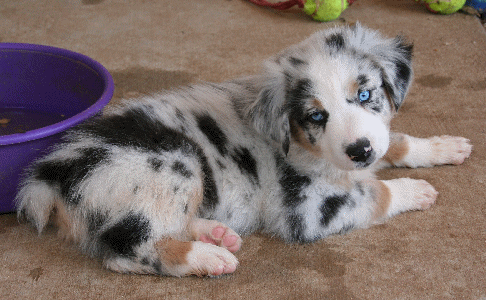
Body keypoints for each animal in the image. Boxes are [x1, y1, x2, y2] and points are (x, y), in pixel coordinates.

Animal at [15, 24, 470, 278]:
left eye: (364, 94)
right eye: (315, 116)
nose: (359, 151)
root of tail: (54, 171)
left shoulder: (374, 143)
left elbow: (396, 141)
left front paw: (445, 146)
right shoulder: (306, 210)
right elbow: (377, 193)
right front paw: (417, 190)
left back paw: (217, 233)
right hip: (174, 161)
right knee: (126, 250)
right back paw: (208, 257)